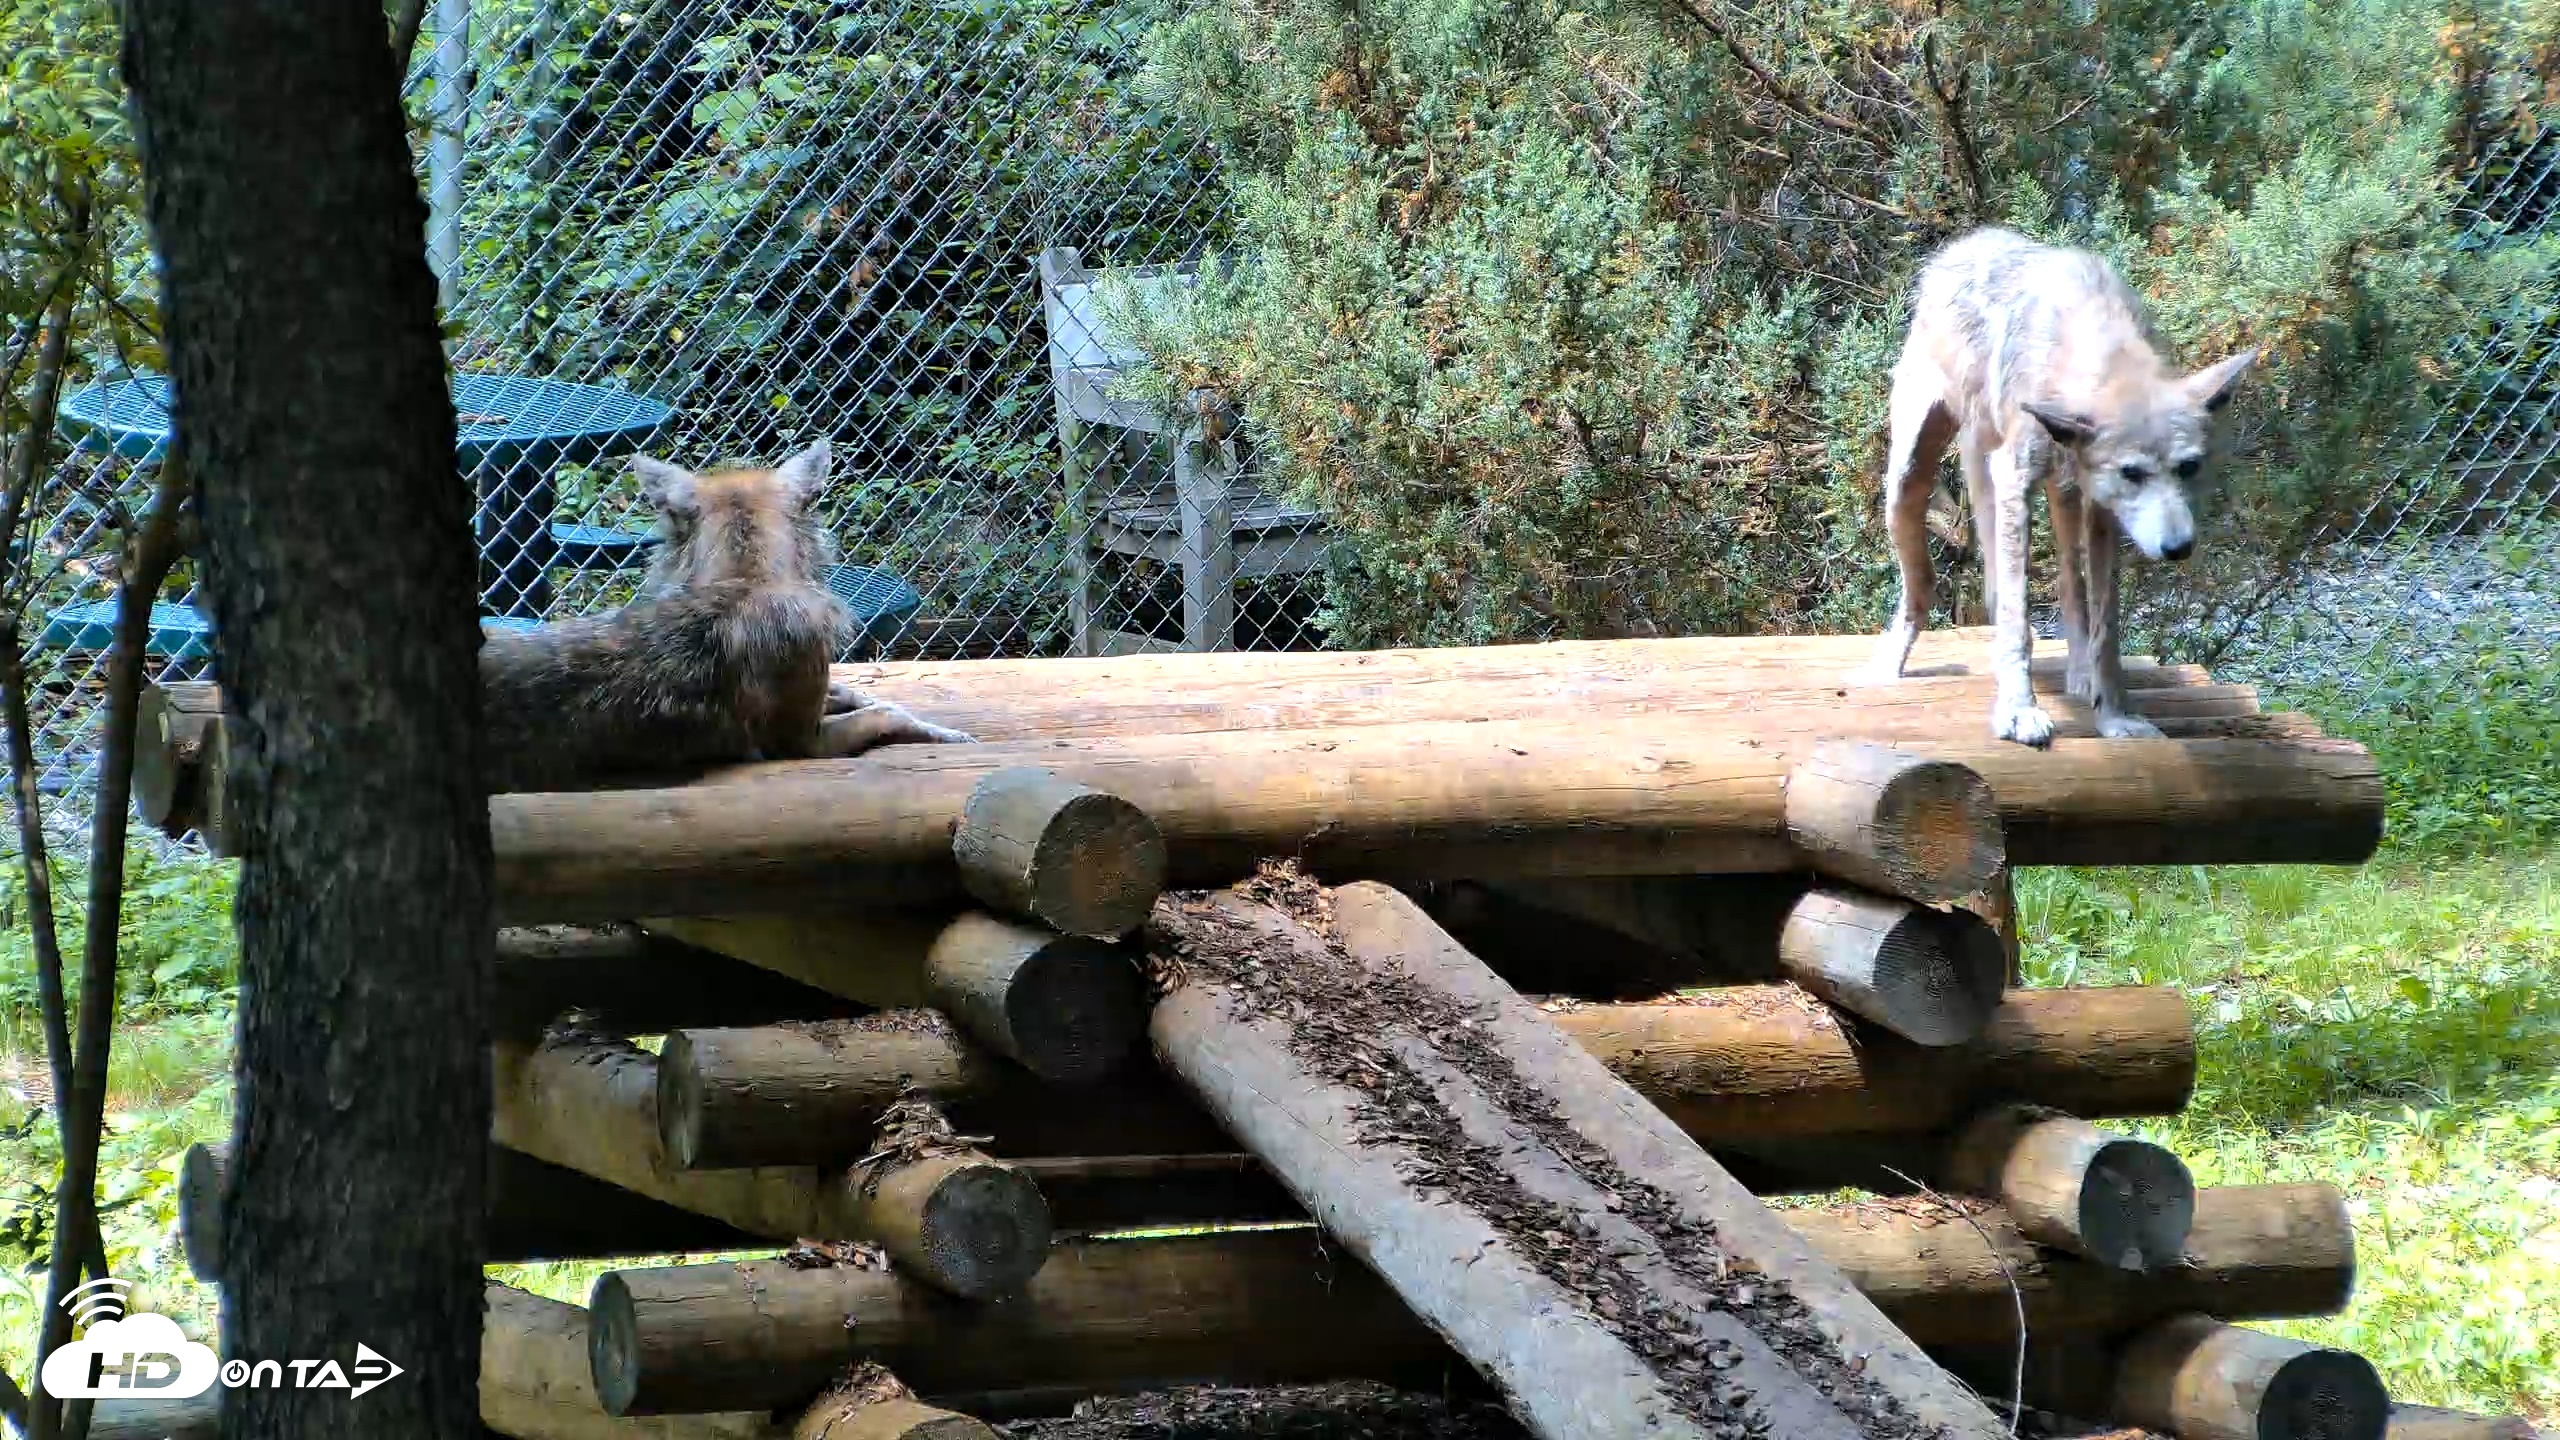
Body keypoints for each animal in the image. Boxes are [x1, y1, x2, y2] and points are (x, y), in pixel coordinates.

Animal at [1855, 226, 2257, 747]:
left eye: (2189, 467)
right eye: (2132, 473)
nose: (2178, 548)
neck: (2089, 341)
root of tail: (1963, 245)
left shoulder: (2102, 511)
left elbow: (2106, 627)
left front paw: (2114, 716)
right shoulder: (2014, 478)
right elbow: (2017, 621)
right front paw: (2018, 712)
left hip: (2065, 497)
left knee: (2071, 583)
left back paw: (2079, 675)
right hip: (1908, 485)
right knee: (1921, 588)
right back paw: (1887, 668)